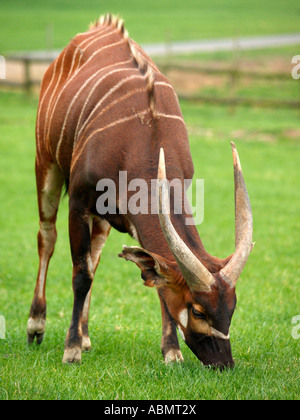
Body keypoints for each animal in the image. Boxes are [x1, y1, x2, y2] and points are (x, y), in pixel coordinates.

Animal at [27, 13, 253, 368]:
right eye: (198, 310)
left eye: (231, 308)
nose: (223, 363)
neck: (143, 136)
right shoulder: (78, 202)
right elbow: (80, 273)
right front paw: (70, 349)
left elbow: (152, 278)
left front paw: (171, 352)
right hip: (46, 163)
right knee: (47, 238)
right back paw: (37, 326)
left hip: (102, 218)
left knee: (95, 255)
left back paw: (87, 335)